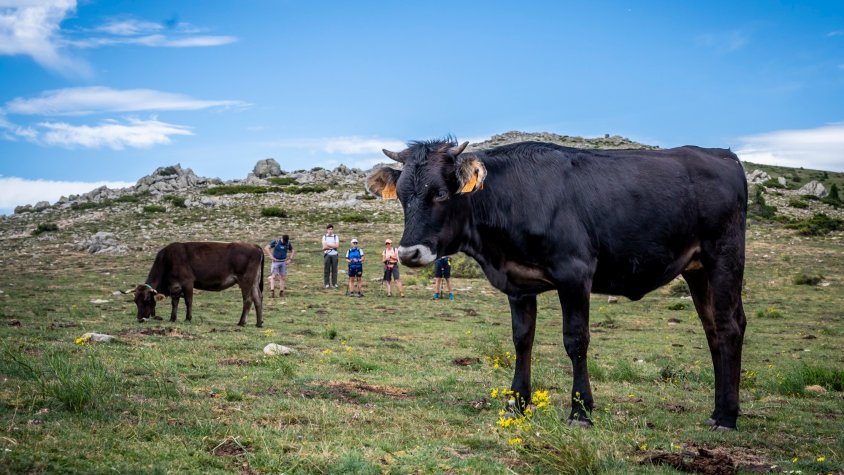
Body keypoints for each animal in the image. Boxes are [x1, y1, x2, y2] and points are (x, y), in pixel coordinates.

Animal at [123, 242, 265, 327]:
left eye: (147, 300)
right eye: (135, 301)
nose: (140, 318)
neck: (167, 260)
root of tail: (254, 245)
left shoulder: (188, 282)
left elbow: (188, 301)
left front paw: (188, 318)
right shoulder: (175, 287)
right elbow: (175, 302)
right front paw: (172, 318)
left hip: (245, 280)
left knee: (248, 300)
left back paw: (241, 322)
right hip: (254, 282)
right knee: (258, 298)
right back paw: (259, 323)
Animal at [367, 138, 747, 431]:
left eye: (442, 194)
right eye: (402, 196)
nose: (408, 252)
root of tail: (721, 154)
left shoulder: (575, 273)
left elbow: (575, 341)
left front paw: (580, 412)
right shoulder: (518, 285)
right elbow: (522, 341)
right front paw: (516, 404)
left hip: (724, 254)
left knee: (728, 326)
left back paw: (726, 417)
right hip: (697, 268)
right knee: (714, 328)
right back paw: (717, 410)